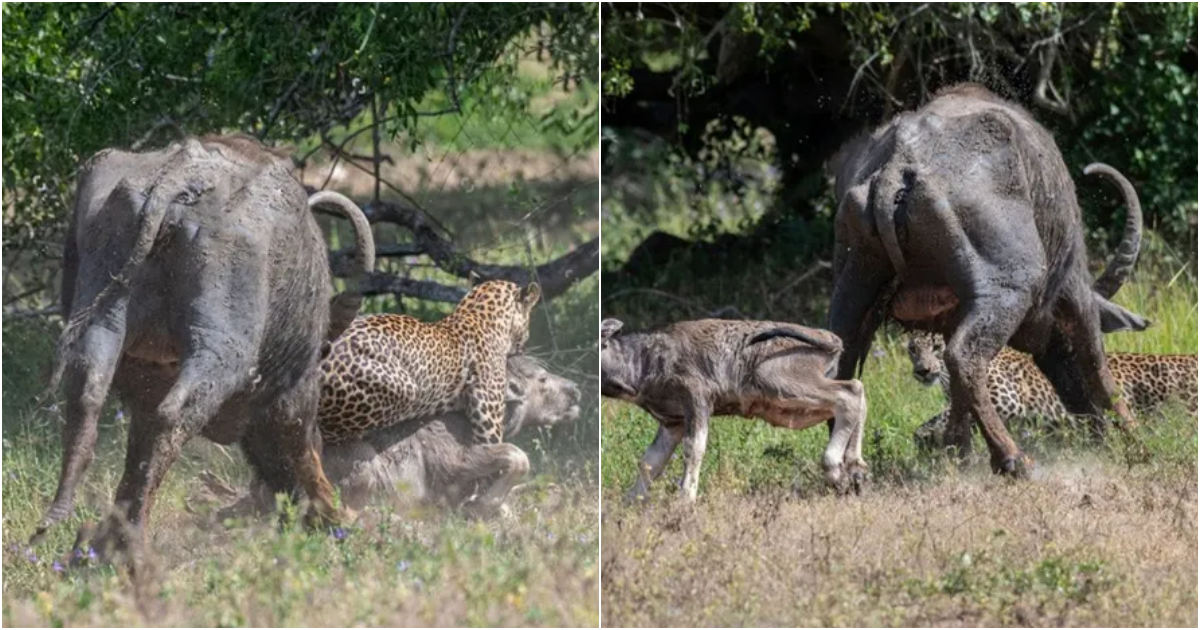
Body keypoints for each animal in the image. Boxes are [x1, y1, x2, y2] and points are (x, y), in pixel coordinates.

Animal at [604, 319, 868, 501]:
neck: (643, 361)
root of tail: (830, 339)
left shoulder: (697, 399)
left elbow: (694, 449)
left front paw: (686, 498)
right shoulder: (671, 422)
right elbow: (650, 462)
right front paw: (630, 502)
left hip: (778, 382)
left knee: (849, 395)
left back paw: (834, 468)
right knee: (857, 393)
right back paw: (855, 465)